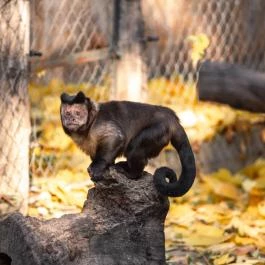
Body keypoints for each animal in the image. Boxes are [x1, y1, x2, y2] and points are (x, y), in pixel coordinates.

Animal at [60, 91, 195, 196]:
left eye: (77, 113)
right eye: (67, 113)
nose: (71, 119)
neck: (90, 124)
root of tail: (172, 118)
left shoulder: (100, 124)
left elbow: (116, 137)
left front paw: (97, 167)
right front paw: (106, 167)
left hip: (159, 129)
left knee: (135, 148)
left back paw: (132, 173)